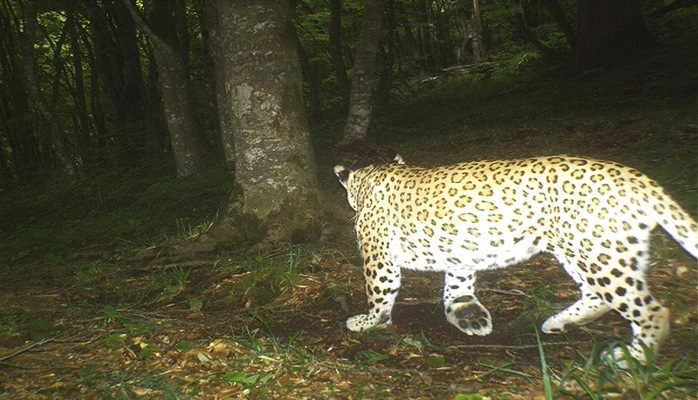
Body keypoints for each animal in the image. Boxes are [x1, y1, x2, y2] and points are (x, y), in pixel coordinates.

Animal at [334, 154, 692, 366]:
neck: (372, 179)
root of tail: (638, 178)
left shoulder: (378, 256)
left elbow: (379, 292)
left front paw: (369, 321)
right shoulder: (460, 250)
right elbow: (458, 288)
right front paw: (468, 316)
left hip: (596, 253)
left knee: (652, 310)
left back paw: (633, 356)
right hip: (580, 251)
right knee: (598, 296)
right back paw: (559, 323)